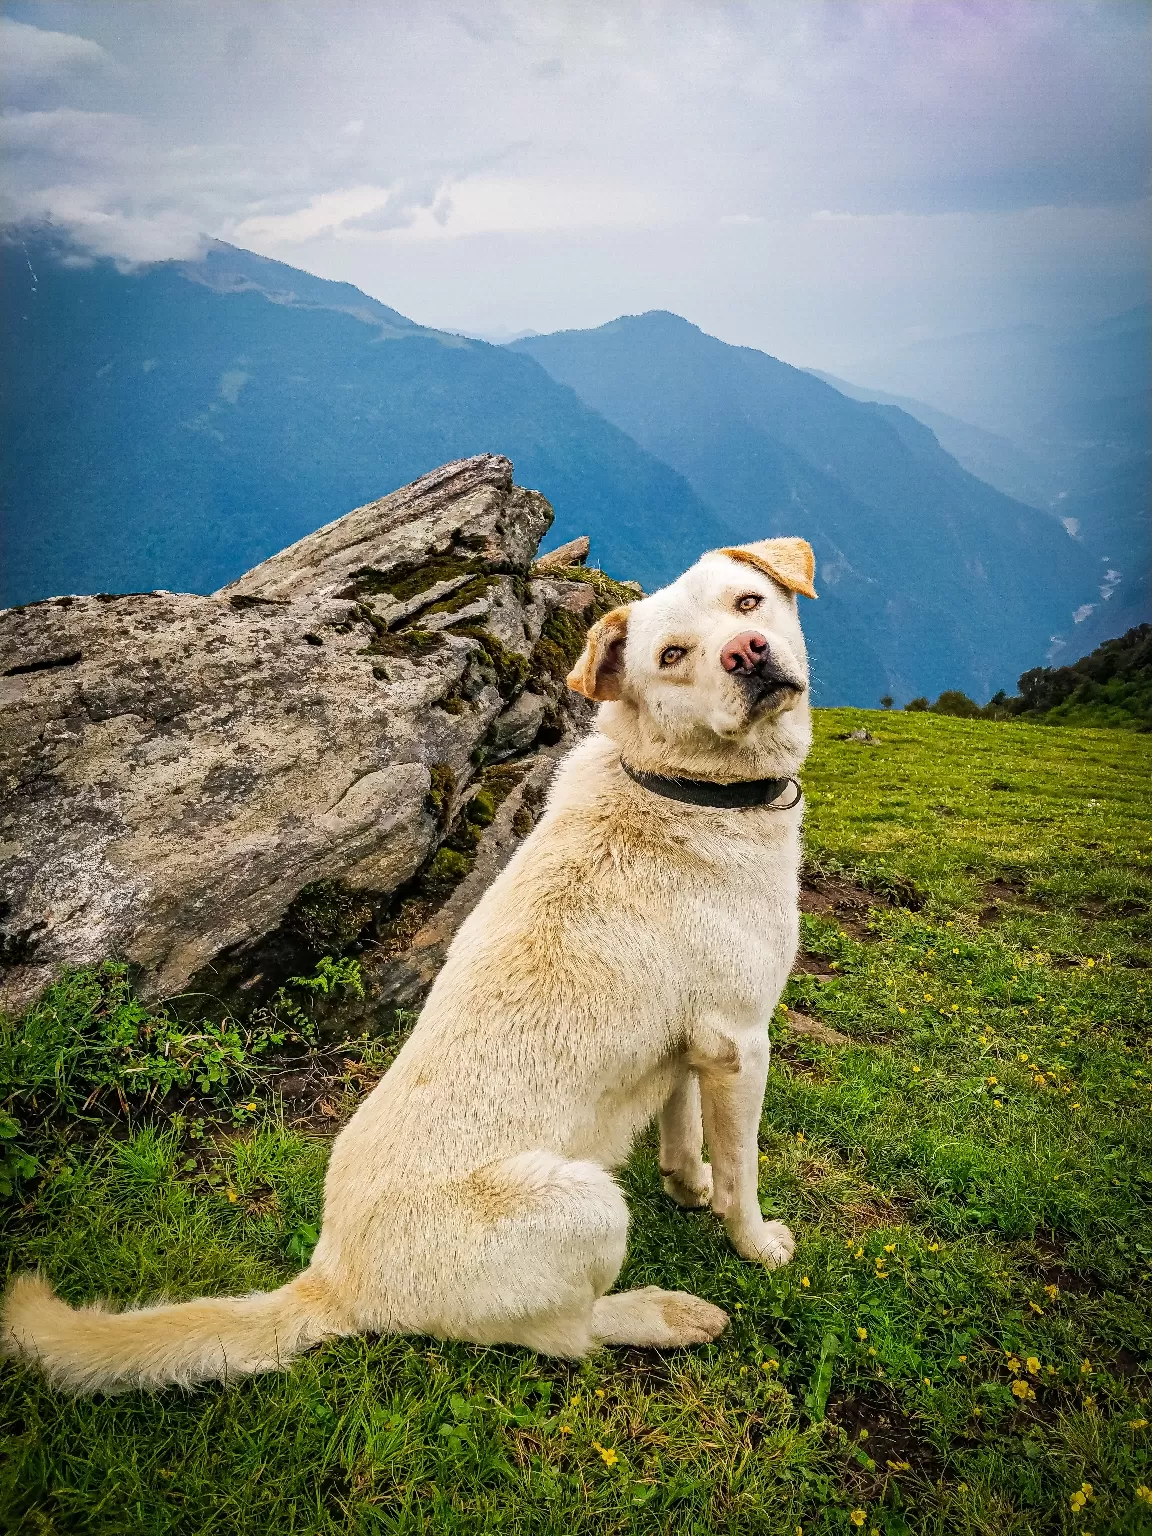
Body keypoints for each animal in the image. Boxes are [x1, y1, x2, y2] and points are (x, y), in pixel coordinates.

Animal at [6, 537, 823, 1394]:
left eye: (747, 603)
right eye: (671, 657)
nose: (747, 653)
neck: (683, 786)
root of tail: (335, 1280)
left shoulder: (692, 1043)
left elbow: (681, 1122)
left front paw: (687, 1183)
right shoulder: (742, 1042)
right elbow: (741, 1170)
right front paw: (755, 1243)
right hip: (586, 1203)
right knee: (566, 1336)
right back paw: (663, 1314)